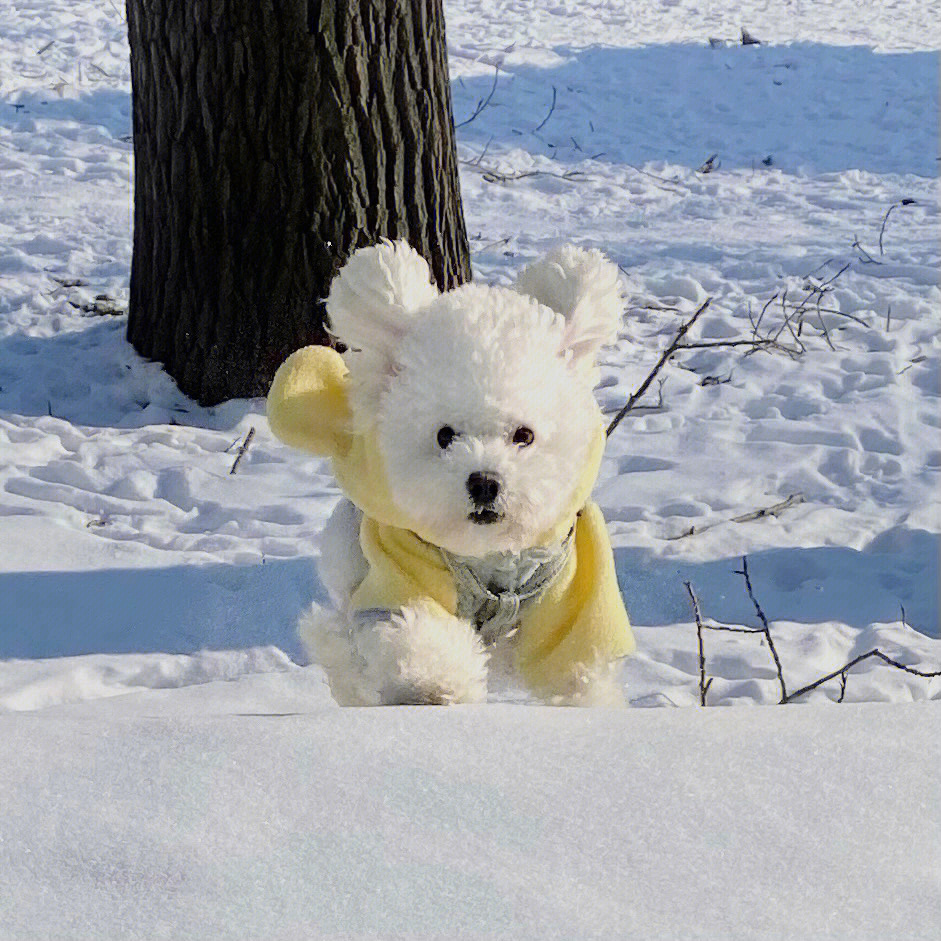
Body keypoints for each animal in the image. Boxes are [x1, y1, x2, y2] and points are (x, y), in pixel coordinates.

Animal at [268, 239, 636, 700]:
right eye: (445, 436)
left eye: (524, 435)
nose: (484, 483)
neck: (490, 557)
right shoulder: (401, 571)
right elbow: (416, 628)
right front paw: (434, 681)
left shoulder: (573, 591)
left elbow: (573, 660)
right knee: (341, 640)